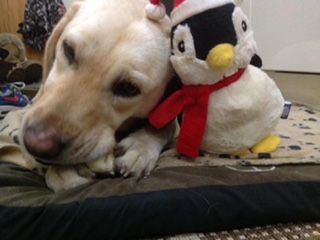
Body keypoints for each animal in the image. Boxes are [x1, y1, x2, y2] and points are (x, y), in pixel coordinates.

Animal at [19, 0, 175, 191]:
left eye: (128, 88)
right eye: (68, 49)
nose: (35, 144)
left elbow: (165, 126)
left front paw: (140, 146)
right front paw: (62, 171)